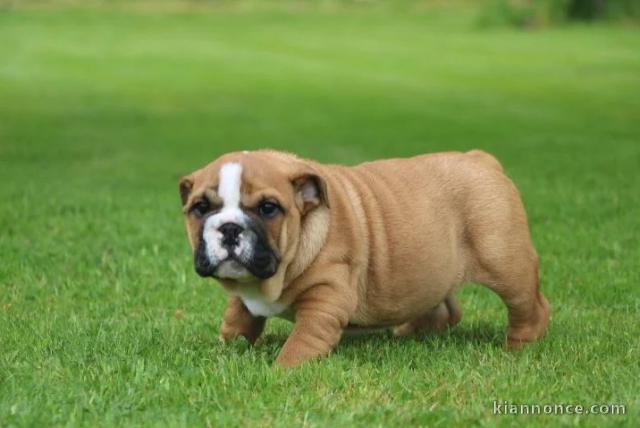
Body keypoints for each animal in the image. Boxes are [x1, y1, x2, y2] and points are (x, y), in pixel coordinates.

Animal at [180, 149, 552, 366]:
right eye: (200, 208)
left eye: (268, 208)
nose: (229, 228)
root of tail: (481, 158)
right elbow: (238, 317)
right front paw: (227, 347)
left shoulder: (326, 298)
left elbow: (305, 338)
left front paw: (284, 369)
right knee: (446, 309)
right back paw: (409, 332)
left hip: (505, 261)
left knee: (528, 304)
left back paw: (518, 345)